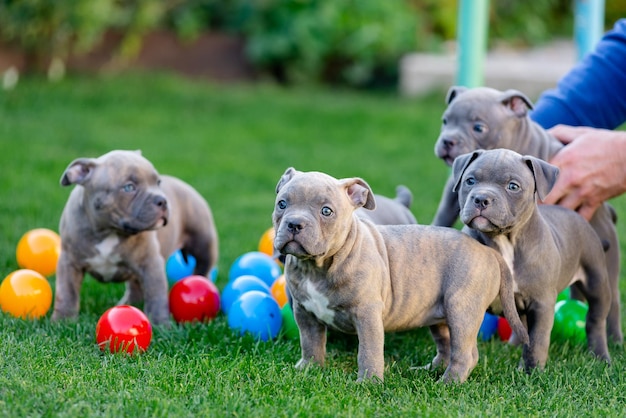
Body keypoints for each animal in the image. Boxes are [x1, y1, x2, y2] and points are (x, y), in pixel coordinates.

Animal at [51, 150, 218, 326]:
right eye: (129, 187)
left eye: (158, 182)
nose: (162, 200)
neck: (109, 230)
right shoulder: (69, 262)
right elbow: (67, 293)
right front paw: (62, 320)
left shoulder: (151, 265)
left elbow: (156, 297)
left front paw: (160, 324)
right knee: (135, 286)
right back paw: (128, 304)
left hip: (203, 244)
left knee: (203, 267)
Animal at [270, 168, 524, 384]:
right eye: (282, 204)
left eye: (326, 211)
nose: (294, 223)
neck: (317, 266)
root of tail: (487, 251)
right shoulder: (305, 313)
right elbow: (310, 342)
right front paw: (308, 369)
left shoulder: (367, 314)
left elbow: (368, 351)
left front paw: (368, 383)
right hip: (441, 314)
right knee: (446, 345)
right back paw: (429, 370)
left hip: (462, 309)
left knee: (465, 353)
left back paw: (448, 383)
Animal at [450, 149, 612, 370]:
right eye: (470, 180)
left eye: (513, 186)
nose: (481, 199)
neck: (504, 240)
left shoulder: (541, 303)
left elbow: (537, 340)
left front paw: (531, 370)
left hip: (596, 280)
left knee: (595, 320)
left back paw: (601, 356)